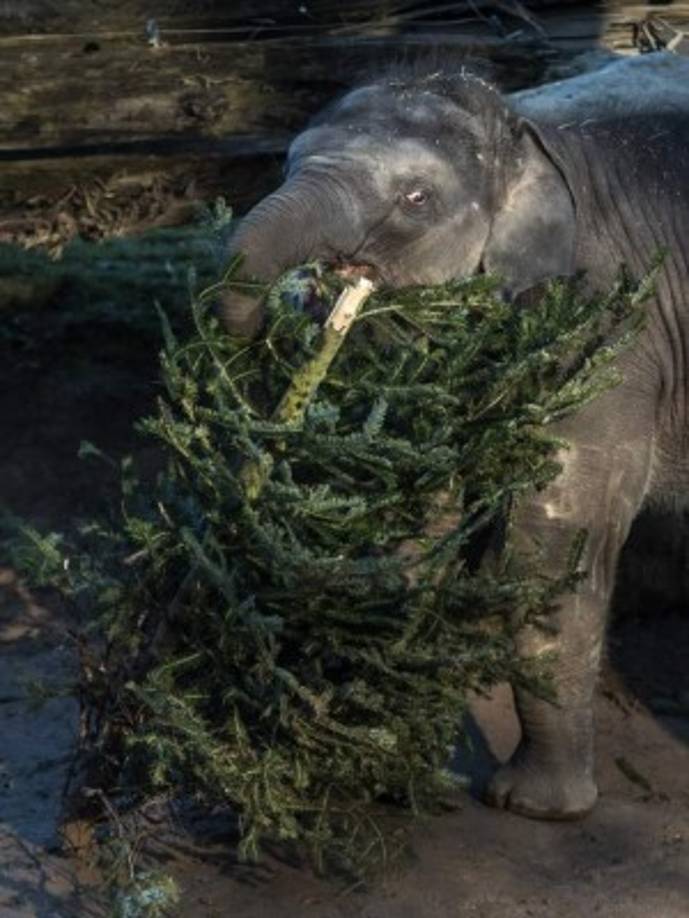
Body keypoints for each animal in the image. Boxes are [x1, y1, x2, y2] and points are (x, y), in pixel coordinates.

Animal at [220, 56, 689, 820]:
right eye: (286, 162)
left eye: (414, 199)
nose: (301, 296)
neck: (522, 131)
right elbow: (421, 516)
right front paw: (382, 765)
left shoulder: (608, 329)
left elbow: (551, 537)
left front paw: (533, 807)